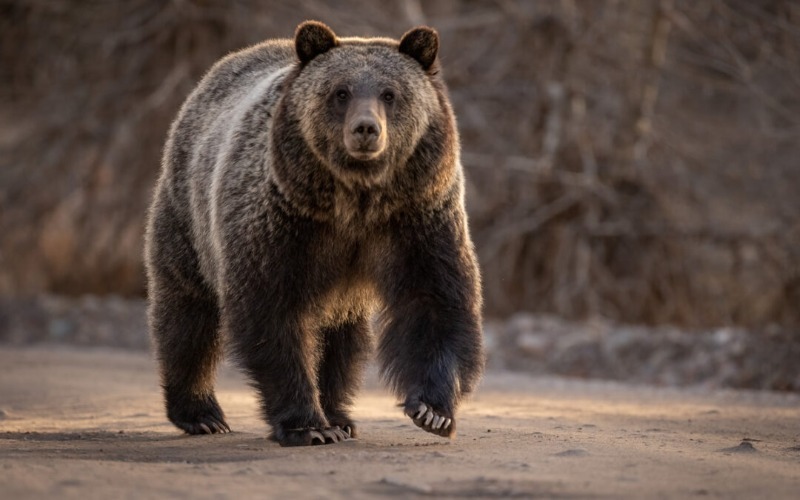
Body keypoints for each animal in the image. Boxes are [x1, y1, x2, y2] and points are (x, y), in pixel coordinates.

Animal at [145, 20, 484, 447]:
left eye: (390, 93)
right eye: (341, 92)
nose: (366, 129)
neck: (357, 199)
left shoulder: (417, 215)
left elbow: (434, 299)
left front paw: (432, 411)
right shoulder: (283, 221)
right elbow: (273, 312)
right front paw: (307, 424)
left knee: (343, 338)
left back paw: (340, 414)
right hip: (188, 216)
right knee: (188, 312)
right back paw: (201, 413)